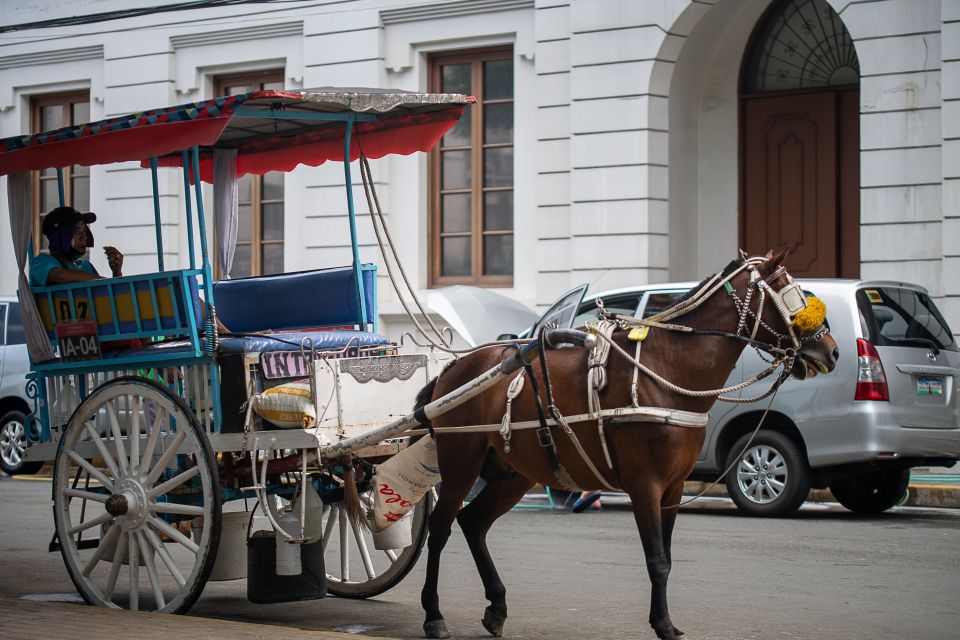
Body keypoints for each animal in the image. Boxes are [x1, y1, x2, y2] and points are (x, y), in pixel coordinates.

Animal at [412, 250, 840, 640]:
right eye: (790, 295)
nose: (831, 351)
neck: (666, 368)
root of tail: (454, 367)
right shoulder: (644, 483)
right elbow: (657, 559)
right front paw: (663, 625)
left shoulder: (673, 487)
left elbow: (667, 556)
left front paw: (665, 622)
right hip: (461, 464)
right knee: (440, 527)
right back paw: (433, 614)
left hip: (513, 474)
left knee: (474, 522)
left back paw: (497, 607)